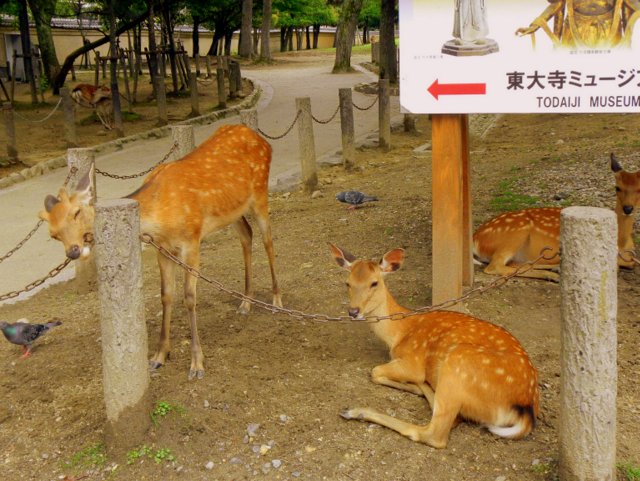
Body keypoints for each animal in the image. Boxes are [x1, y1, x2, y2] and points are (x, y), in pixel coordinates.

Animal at [38, 124, 282, 379]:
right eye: (53, 234)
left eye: (76, 212)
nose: (73, 252)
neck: (160, 218)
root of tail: (263, 140)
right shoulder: (163, 248)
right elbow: (166, 295)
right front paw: (159, 356)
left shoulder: (192, 240)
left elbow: (189, 297)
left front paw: (197, 364)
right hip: (233, 210)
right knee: (246, 235)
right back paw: (245, 303)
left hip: (260, 193)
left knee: (268, 239)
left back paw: (276, 300)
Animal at [330, 244, 539, 449]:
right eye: (347, 283)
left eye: (374, 283)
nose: (353, 311)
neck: (398, 334)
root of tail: (525, 409)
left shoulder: (412, 361)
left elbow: (375, 371)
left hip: (459, 364)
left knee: (435, 434)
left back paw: (356, 411)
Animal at [472, 153, 640, 280]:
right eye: (617, 187)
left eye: (639, 188)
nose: (628, 208)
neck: (621, 244)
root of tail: (475, 238)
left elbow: (630, 263)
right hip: (515, 234)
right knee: (495, 266)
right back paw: (553, 274)